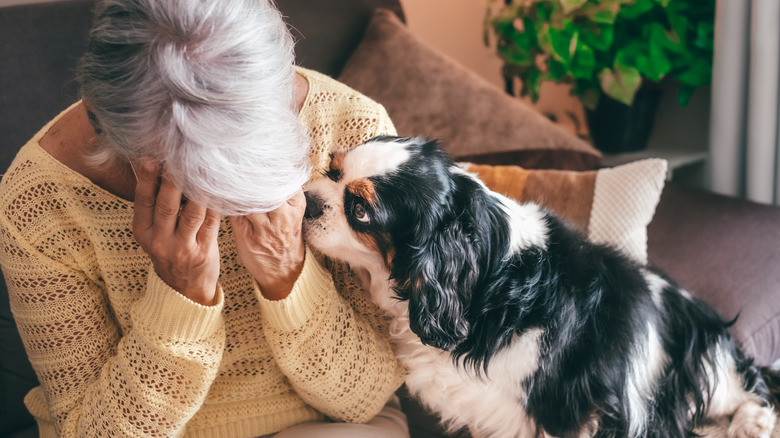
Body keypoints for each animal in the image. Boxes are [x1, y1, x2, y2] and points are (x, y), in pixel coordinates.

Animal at [302, 137, 776, 438]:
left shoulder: (567, 405)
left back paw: (752, 424)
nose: (306, 200)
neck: (486, 284)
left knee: (752, 386)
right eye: (331, 169)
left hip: (702, 361)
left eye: (360, 210)